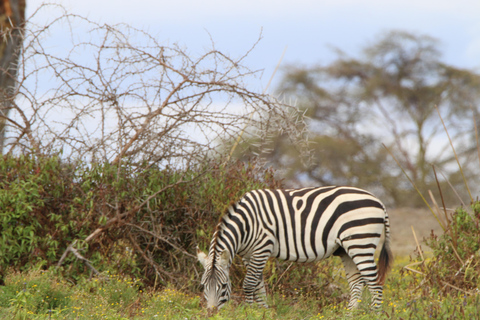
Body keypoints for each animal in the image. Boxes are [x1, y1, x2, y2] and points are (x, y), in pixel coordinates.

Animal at [197, 185, 392, 310]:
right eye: (203, 286)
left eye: (223, 286)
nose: (211, 313)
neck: (246, 225)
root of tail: (379, 202)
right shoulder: (248, 254)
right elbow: (259, 285)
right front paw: (262, 311)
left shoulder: (262, 247)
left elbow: (249, 283)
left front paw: (249, 312)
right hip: (346, 249)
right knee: (357, 282)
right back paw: (350, 315)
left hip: (360, 243)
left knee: (374, 282)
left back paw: (374, 314)